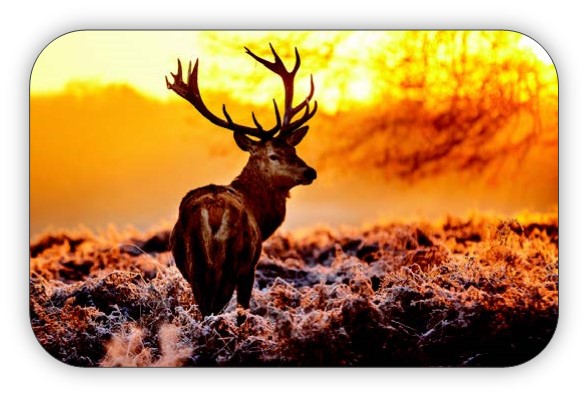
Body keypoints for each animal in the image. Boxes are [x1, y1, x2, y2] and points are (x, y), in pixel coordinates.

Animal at [167, 44, 316, 316]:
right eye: (274, 155)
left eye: (294, 150)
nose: (310, 172)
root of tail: (213, 211)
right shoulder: (251, 267)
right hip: (232, 263)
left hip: (195, 267)